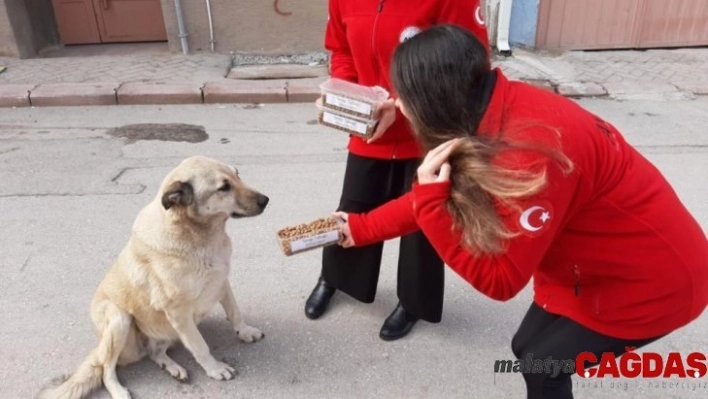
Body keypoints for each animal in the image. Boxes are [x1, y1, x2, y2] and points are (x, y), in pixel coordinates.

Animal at [39, 156, 272, 399]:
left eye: (237, 175)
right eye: (223, 188)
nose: (266, 200)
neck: (200, 236)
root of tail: (98, 346)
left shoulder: (221, 281)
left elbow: (235, 312)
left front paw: (245, 332)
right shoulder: (178, 313)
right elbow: (200, 346)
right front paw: (215, 369)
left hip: (165, 333)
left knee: (154, 352)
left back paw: (172, 367)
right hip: (120, 318)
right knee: (106, 369)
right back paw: (119, 390)